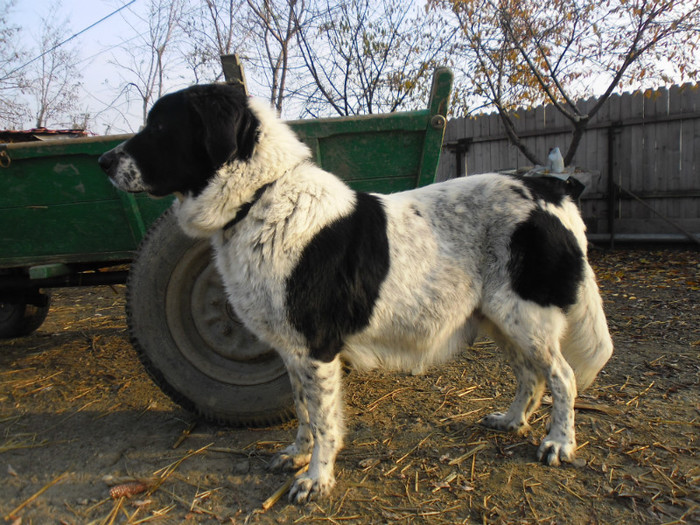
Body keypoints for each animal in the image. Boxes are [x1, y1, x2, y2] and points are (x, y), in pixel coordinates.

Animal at [98, 83, 612, 504]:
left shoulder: (318, 348)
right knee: (531, 376)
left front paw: (316, 479)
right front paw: (297, 455)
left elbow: (325, 421)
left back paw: (559, 443)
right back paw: (511, 421)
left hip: (526, 317)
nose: (102, 162)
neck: (261, 198)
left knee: (563, 377)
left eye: (159, 126)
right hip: (503, 320)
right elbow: (304, 412)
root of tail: (550, 189)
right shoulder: (292, 351)